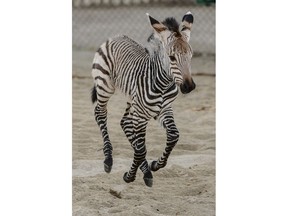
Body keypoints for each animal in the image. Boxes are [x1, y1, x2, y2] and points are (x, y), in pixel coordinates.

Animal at [91, 12, 196, 187]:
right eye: (172, 57)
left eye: (191, 56)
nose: (189, 87)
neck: (163, 85)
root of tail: (116, 36)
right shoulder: (141, 115)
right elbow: (141, 150)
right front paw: (130, 176)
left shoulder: (164, 110)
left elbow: (173, 136)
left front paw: (155, 165)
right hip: (105, 86)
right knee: (100, 113)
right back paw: (108, 160)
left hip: (132, 100)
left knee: (125, 122)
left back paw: (145, 169)